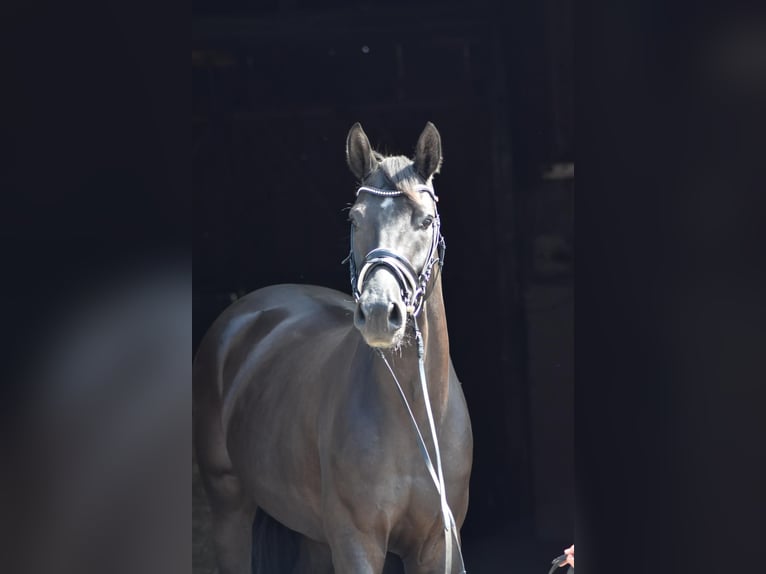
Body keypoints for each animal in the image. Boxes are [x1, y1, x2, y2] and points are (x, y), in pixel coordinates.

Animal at [193, 122, 473, 574]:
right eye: (355, 218)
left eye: (426, 219)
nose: (378, 311)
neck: (413, 412)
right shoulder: (356, 542)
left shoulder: (436, 545)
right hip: (229, 507)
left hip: (314, 538)